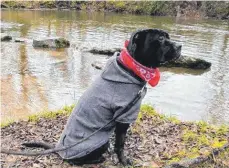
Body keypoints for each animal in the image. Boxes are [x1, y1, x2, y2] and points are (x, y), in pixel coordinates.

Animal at [12, 28, 182, 165]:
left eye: (167, 36)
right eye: (160, 39)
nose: (180, 46)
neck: (131, 68)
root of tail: (60, 149)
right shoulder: (124, 116)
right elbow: (120, 144)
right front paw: (124, 160)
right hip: (99, 142)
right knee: (76, 161)